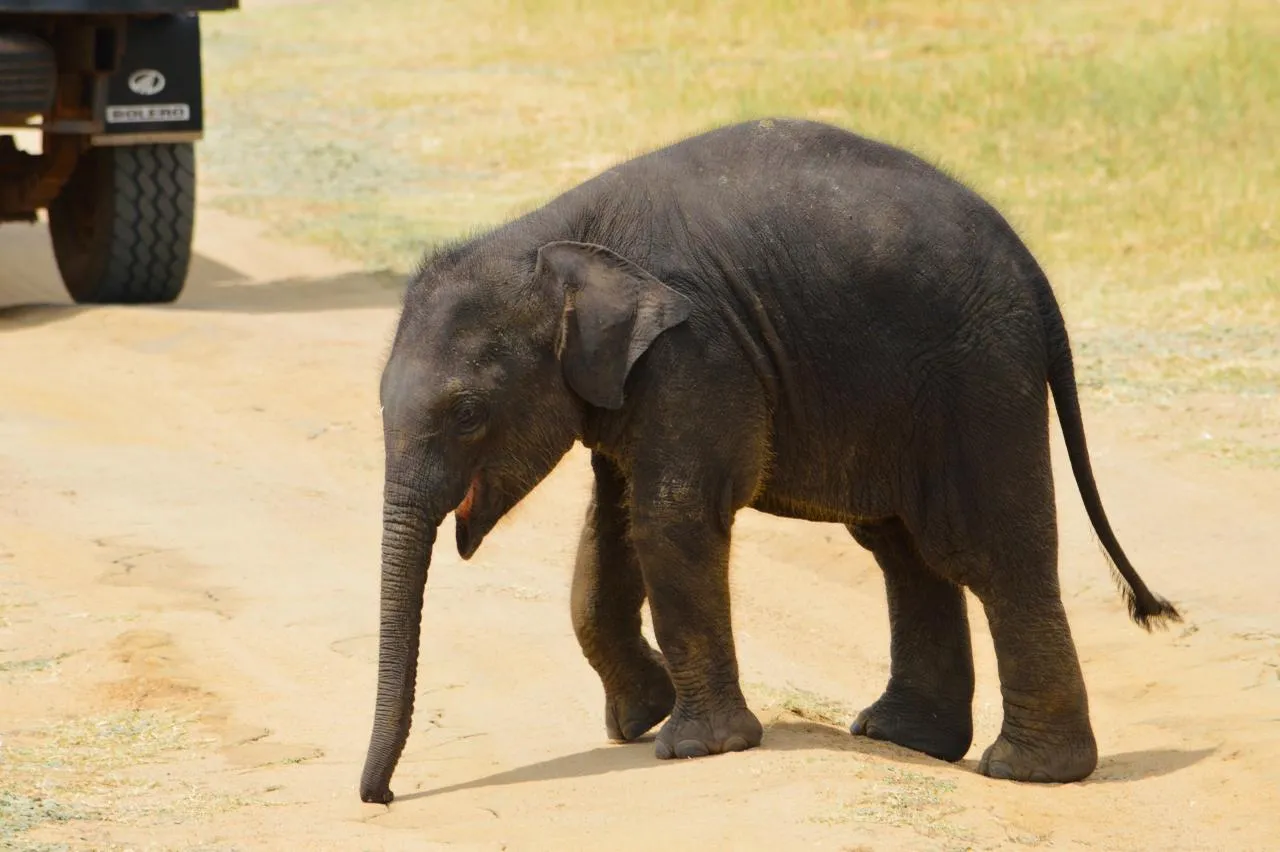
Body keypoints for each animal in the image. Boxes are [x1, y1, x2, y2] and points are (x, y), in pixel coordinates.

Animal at [358, 117, 1181, 805]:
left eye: (467, 413)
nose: (384, 798)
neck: (554, 238)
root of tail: (1034, 273)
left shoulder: (697, 353)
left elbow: (670, 517)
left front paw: (693, 746)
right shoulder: (630, 378)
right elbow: (613, 527)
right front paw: (644, 717)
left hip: (979, 377)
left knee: (988, 554)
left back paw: (1026, 772)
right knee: (904, 552)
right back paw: (904, 738)